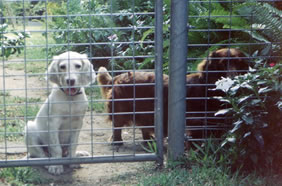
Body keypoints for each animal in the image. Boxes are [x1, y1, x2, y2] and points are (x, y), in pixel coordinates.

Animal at [98, 47, 248, 144]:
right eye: (223, 64)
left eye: (239, 63)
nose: (234, 78)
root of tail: (117, 77)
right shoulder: (196, 121)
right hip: (122, 110)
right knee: (117, 126)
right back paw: (117, 141)